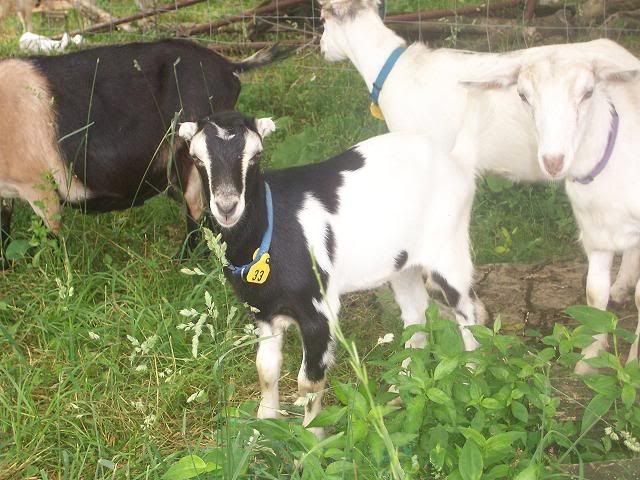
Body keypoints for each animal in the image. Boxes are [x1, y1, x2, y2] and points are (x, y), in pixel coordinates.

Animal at [178, 111, 485, 435]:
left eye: (256, 155)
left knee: (469, 311)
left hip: (448, 248)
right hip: (403, 264)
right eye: (196, 158)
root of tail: (457, 161)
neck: (272, 230)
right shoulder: (263, 311)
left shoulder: (319, 310)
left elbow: (309, 383)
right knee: (416, 316)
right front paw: (264, 427)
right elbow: (266, 369)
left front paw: (313, 437)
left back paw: (471, 378)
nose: (227, 206)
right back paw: (399, 392)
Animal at [462, 55, 640, 374]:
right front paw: (589, 360)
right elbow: (595, 293)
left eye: (588, 92)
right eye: (523, 95)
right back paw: (621, 287)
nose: (553, 161)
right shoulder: (596, 233)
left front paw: (633, 364)